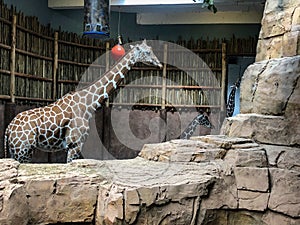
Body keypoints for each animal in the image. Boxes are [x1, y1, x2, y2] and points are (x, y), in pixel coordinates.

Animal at [4, 40, 162, 163]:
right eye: (147, 52)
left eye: (151, 49)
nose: (160, 64)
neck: (88, 104)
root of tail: (8, 130)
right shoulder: (75, 144)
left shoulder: (73, 146)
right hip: (23, 150)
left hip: (15, 151)